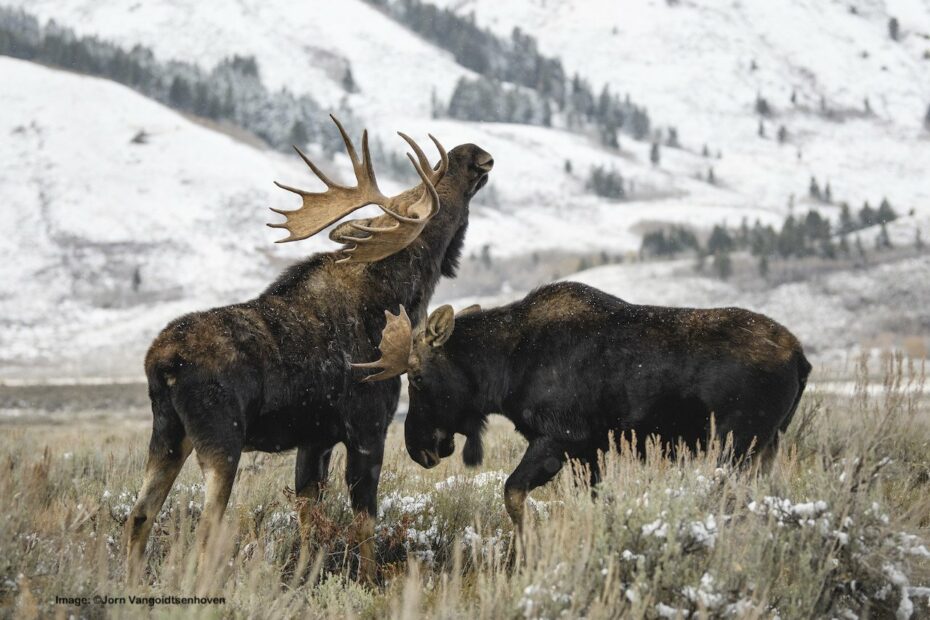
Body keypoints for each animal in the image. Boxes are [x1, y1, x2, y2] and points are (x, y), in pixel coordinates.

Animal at [128, 115, 496, 580]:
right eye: (426, 195)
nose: (474, 153)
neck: (403, 297)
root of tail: (162, 363)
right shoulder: (367, 426)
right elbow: (364, 521)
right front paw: (368, 581)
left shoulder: (315, 437)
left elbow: (309, 521)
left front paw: (303, 577)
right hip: (221, 439)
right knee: (206, 531)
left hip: (167, 434)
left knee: (139, 515)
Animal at [358, 280, 808, 532]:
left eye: (416, 378)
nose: (419, 448)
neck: (503, 371)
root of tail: (802, 360)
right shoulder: (589, 452)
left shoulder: (558, 438)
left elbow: (513, 494)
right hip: (767, 445)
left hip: (738, 444)